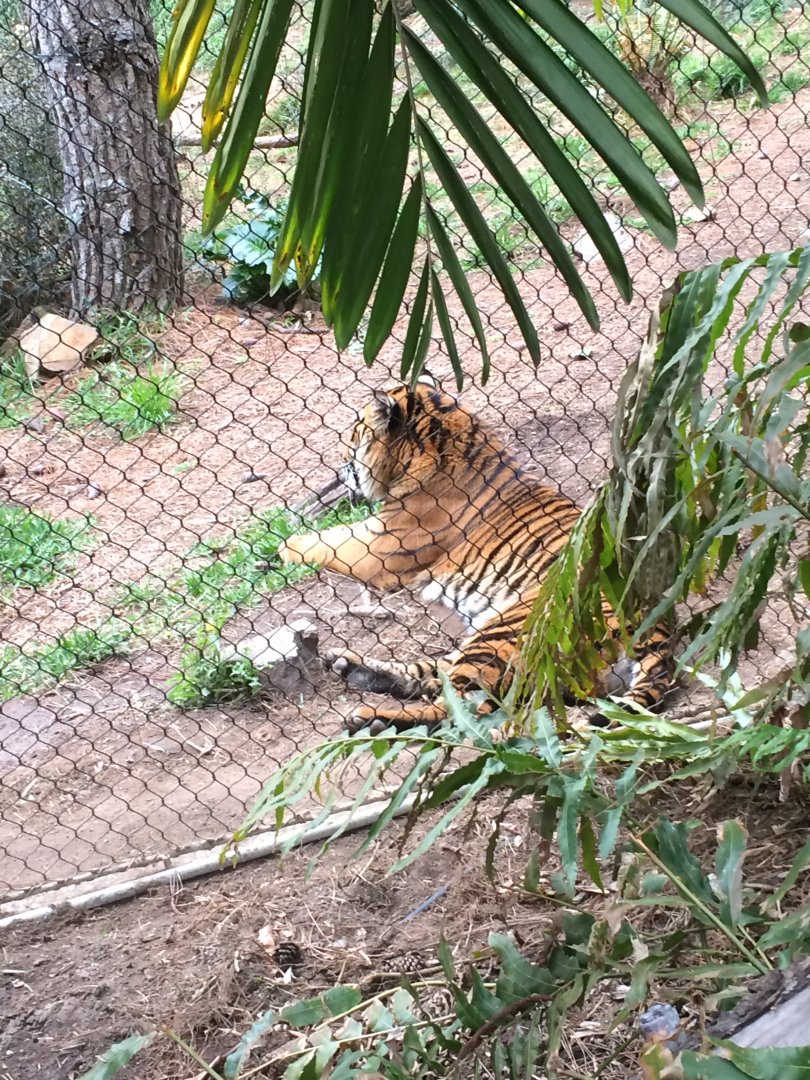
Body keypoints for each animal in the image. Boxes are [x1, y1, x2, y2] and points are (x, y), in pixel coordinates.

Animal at [278, 373, 675, 734]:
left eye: (355, 435)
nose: (341, 468)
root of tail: (660, 631)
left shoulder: (379, 548)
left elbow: (325, 541)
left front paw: (284, 546)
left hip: (507, 630)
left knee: (460, 710)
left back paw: (371, 717)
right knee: (432, 676)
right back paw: (351, 667)